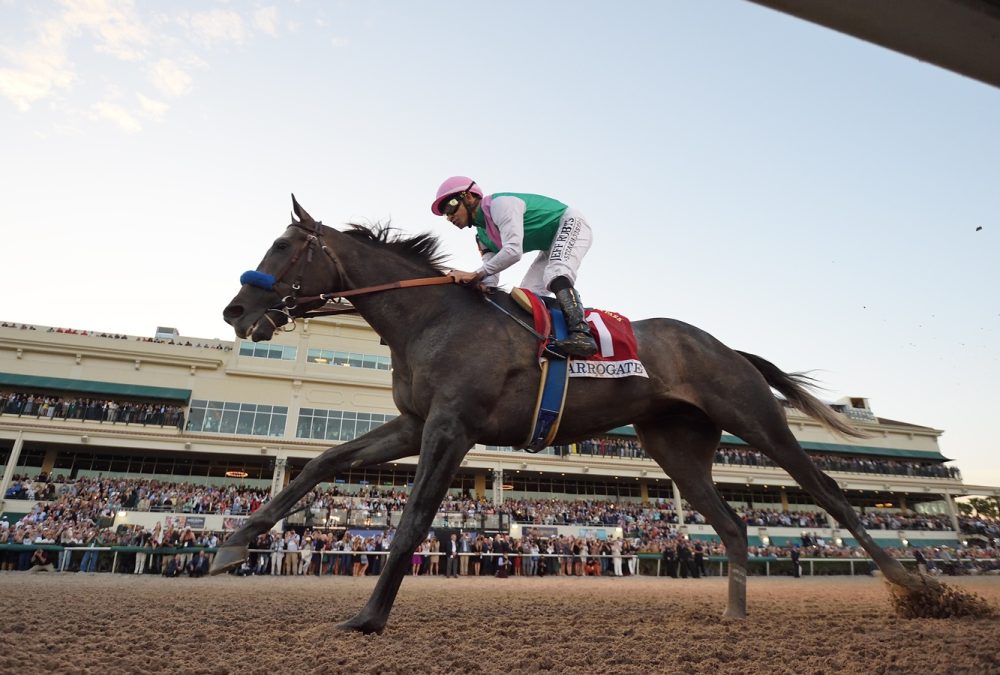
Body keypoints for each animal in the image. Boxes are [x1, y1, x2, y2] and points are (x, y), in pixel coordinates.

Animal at [213, 195, 992, 632]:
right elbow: (319, 460)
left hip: (756, 419)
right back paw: (734, 615)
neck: (431, 316)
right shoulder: (413, 423)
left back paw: (916, 586)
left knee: (827, 490)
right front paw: (233, 543)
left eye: (283, 246)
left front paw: (369, 616)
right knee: (734, 523)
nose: (236, 311)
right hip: (677, 446)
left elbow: (410, 523)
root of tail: (723, 345)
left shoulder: (450, 429)